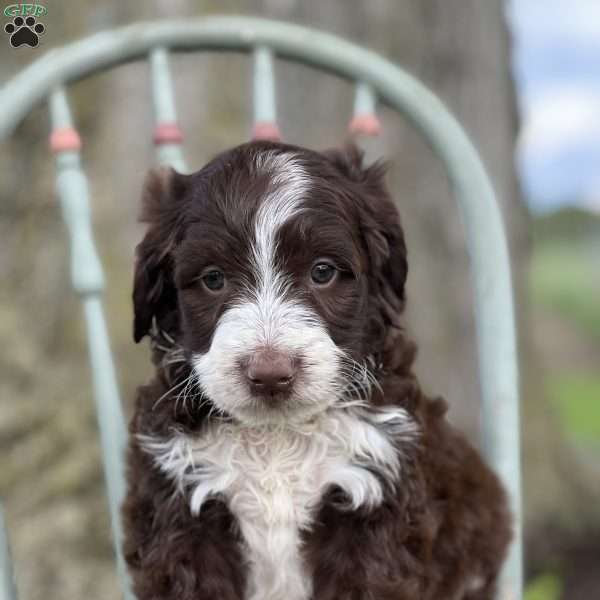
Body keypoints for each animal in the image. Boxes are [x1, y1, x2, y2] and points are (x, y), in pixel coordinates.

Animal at [123, 142, 510, 600]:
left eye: (322, 271)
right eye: (213, 279)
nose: (270, 373)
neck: (276, 438)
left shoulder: (374, 498)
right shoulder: (180, 509)